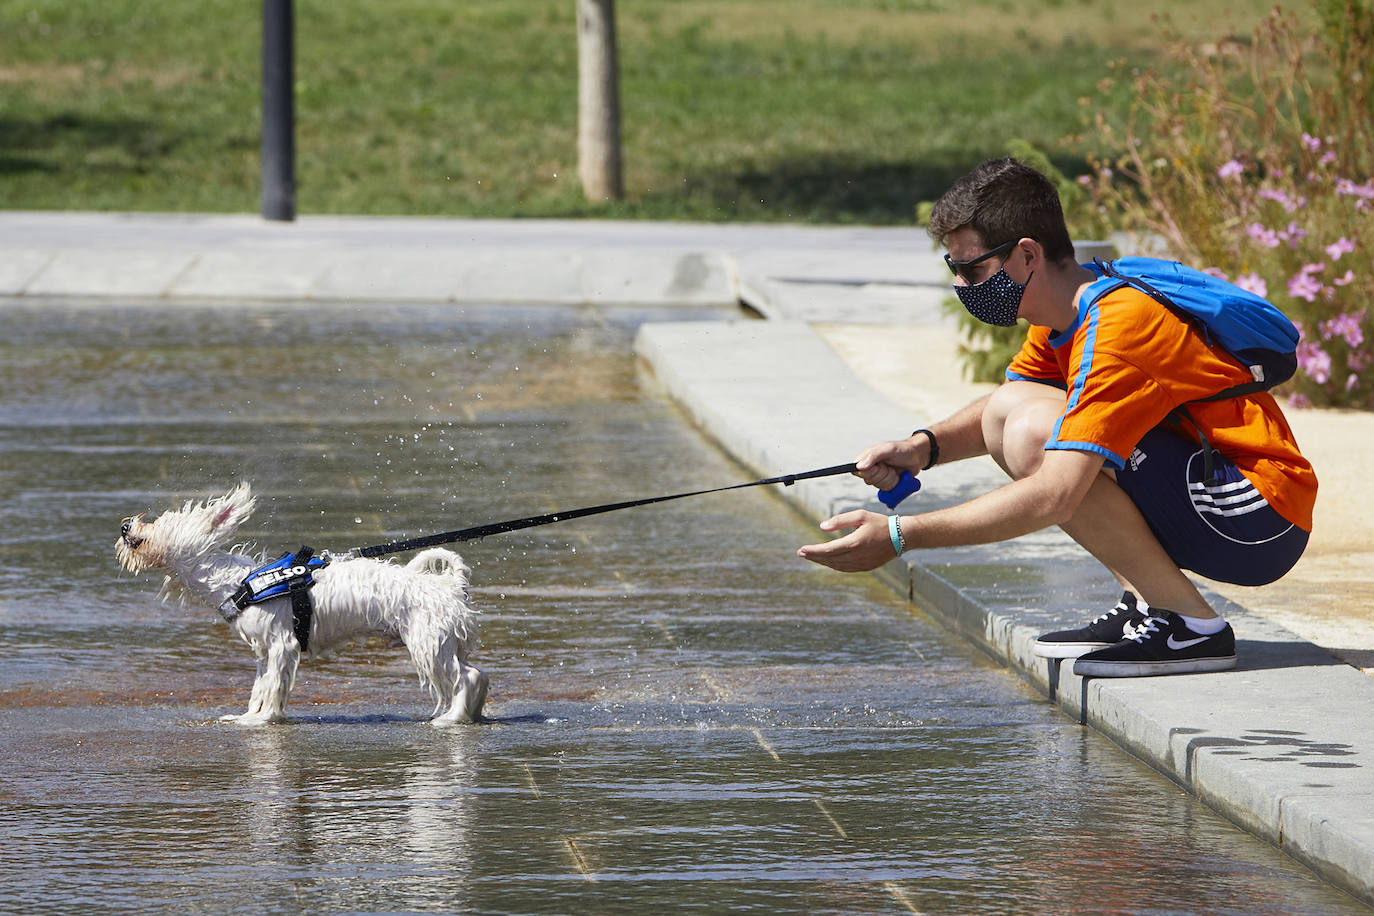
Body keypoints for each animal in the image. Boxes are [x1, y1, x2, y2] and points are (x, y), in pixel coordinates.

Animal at [116, 483, 489, 725]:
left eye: (159, 523)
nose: (124, 525)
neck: (239, 582)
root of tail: (451, 585)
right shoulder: (264, 651)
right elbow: (260, 686)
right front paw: (247, 716)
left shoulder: (283, 644)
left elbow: (274, 686)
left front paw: (263, 720)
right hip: (445, 641)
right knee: (479, 675)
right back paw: (474, 712)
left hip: (427, 644)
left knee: (465, 678)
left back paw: (453, 717)